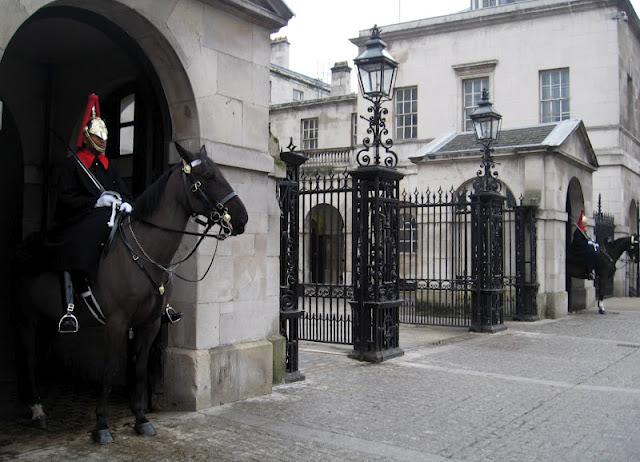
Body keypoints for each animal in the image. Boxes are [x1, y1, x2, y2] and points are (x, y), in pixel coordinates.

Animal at [13, 142, 248, 444]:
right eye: (207, 177)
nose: (242, 218)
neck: (145, 252)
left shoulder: (150, 323)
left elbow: (138, 369)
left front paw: (141, 418)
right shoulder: (116, 322)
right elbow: (111, 369)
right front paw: (101, 425)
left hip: (47, 320)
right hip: (26, 317)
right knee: (28, 356)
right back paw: (36, 408)